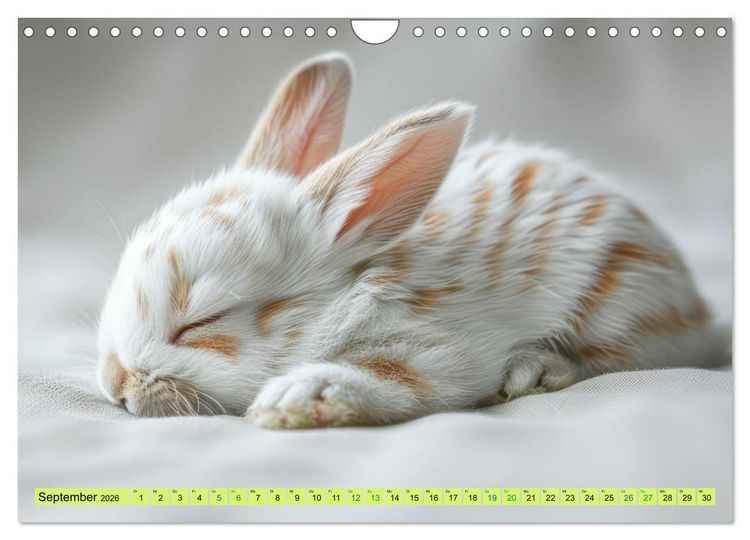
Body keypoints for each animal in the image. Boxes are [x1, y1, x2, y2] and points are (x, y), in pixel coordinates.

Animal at [97, 52, 720, 429]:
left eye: (202, 323)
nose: (113, 385)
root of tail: (699, 310)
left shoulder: (434, 350)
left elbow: (395, 377)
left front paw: (295, 398)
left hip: (618, 312)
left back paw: (533, 370)